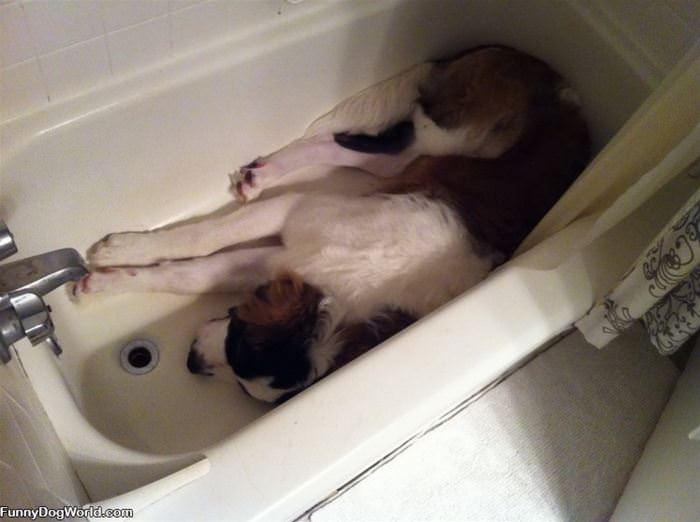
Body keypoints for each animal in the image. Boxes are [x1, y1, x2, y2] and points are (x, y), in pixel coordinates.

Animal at [76, 45, 592, 402]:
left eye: (241, 381)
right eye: (237, 335)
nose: (190, 362)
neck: (342, 294)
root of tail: (562, 84)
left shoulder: (278, 261)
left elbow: (189, 274)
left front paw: (108, 280)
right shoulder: (295, 213)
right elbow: (202, 237)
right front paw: (117, 253)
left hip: (424, 156)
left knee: (358, 152)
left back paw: (261, 174)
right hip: (447, 134)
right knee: (357, 140)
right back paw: (262, 175)